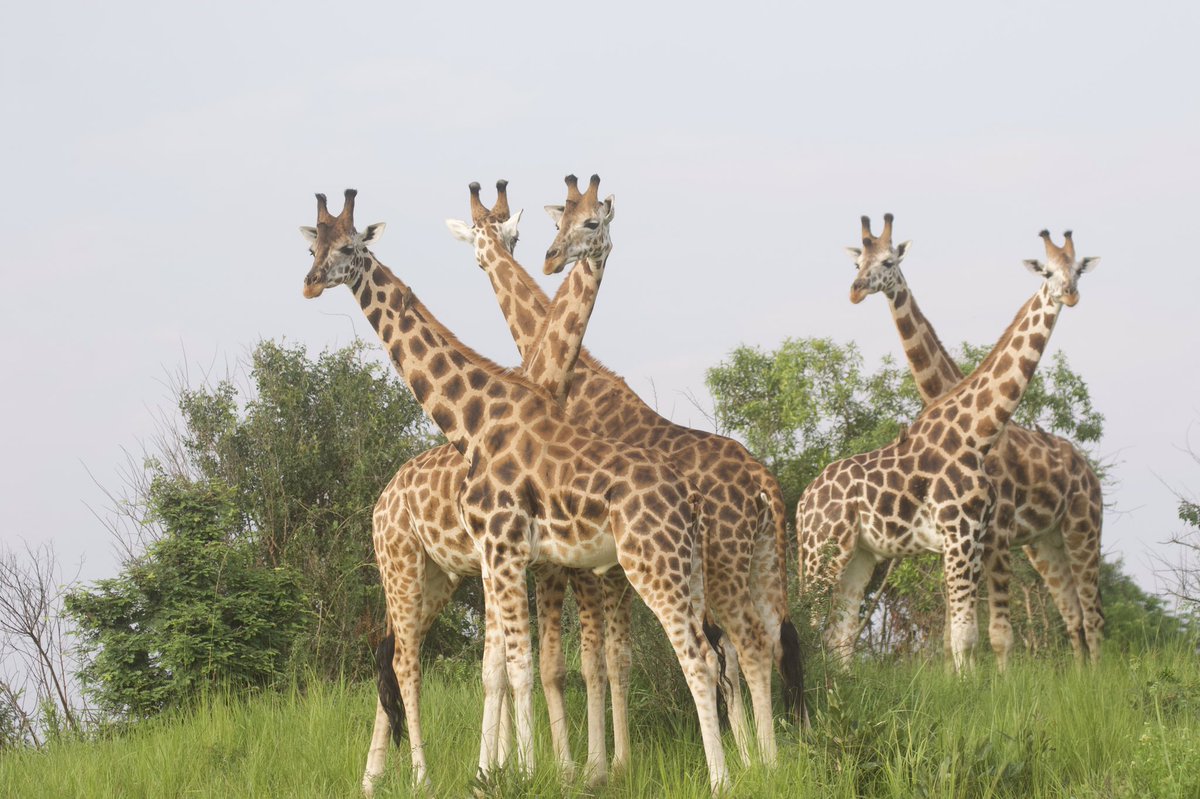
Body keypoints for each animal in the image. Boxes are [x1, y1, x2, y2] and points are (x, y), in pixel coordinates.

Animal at [299, 189, 729, 791]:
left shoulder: (508, 552)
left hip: (649, 565)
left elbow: (520, 667)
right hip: (428, 573)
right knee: (397, 657)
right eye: (312, 246)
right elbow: (510, 667)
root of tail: (381, 503)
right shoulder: (504, 556)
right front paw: (511, 770)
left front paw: (527, 772)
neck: (476, 420)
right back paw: (376, 780)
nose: (311, 282)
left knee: (697, 658)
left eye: (347, 247)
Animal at [446, 177, 806, 766]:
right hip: (762, 564)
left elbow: (590, 658)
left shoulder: (582, 562)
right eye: (554, 224)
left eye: (591, 223)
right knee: (772, 642)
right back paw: (771, 754)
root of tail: (764, 484)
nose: (549, 258)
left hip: (720, 567)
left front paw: (597, 765)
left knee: (739, 649)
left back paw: (758, 761)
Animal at [798, 228, 1099, 671]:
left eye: (1077, 269)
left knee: (840, 633)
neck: (977, 431)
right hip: (823, 550)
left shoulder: (974, 538)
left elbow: (965, 634)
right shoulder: (963, 536)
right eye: (1046, 272)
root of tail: (803, 502)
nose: (1071, 294)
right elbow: (967, 635)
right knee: (809, 619)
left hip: (864, 555)